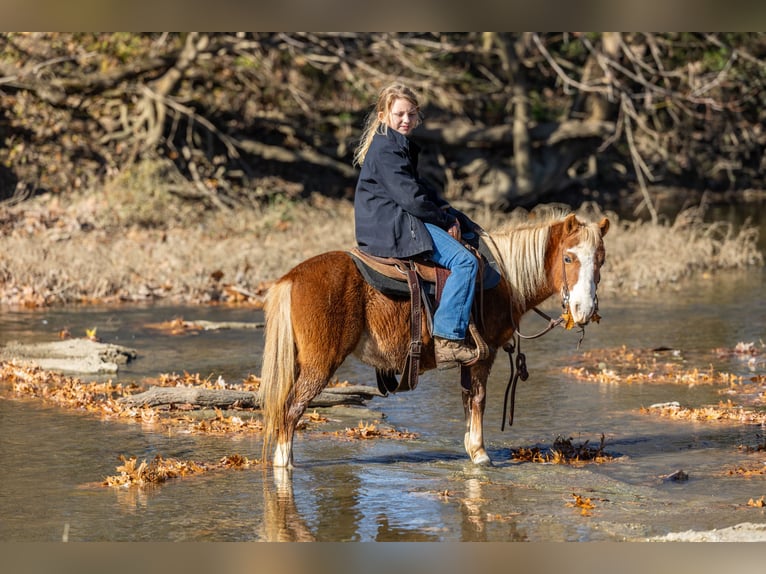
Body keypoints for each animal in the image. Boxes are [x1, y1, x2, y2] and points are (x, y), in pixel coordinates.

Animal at [260, 211, 609, 469]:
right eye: (568, 258)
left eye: (601, 261)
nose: (585, 309)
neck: (503, 280)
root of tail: (291, 278)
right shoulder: (484, 355)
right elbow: (479, 399)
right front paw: (480, 453)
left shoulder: (470, 360)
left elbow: (467, 399)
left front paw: (470, 446)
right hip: (320, 364)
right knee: (290, 410)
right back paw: (284, 464)